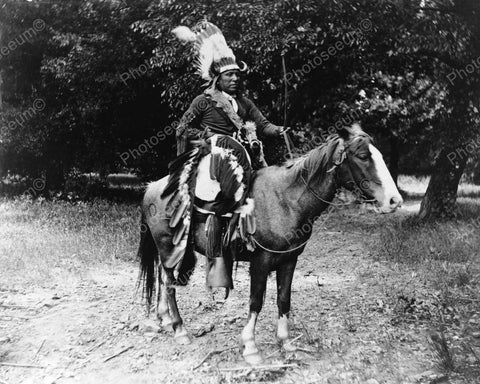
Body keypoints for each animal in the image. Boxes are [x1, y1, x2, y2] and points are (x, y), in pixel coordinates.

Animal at [137, 124, 404, 364]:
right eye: (363, 156)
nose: (395, 200)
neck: (286, 200)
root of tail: (152, 187)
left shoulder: (289, 260)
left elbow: (283, 299)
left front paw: (285, 342)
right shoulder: (261, 261)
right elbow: (256, 301)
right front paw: (250, 347)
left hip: (171, 251)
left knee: (163, 278)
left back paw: (165, 319)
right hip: (168, 247)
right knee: (170, 284)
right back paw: (180, 329)